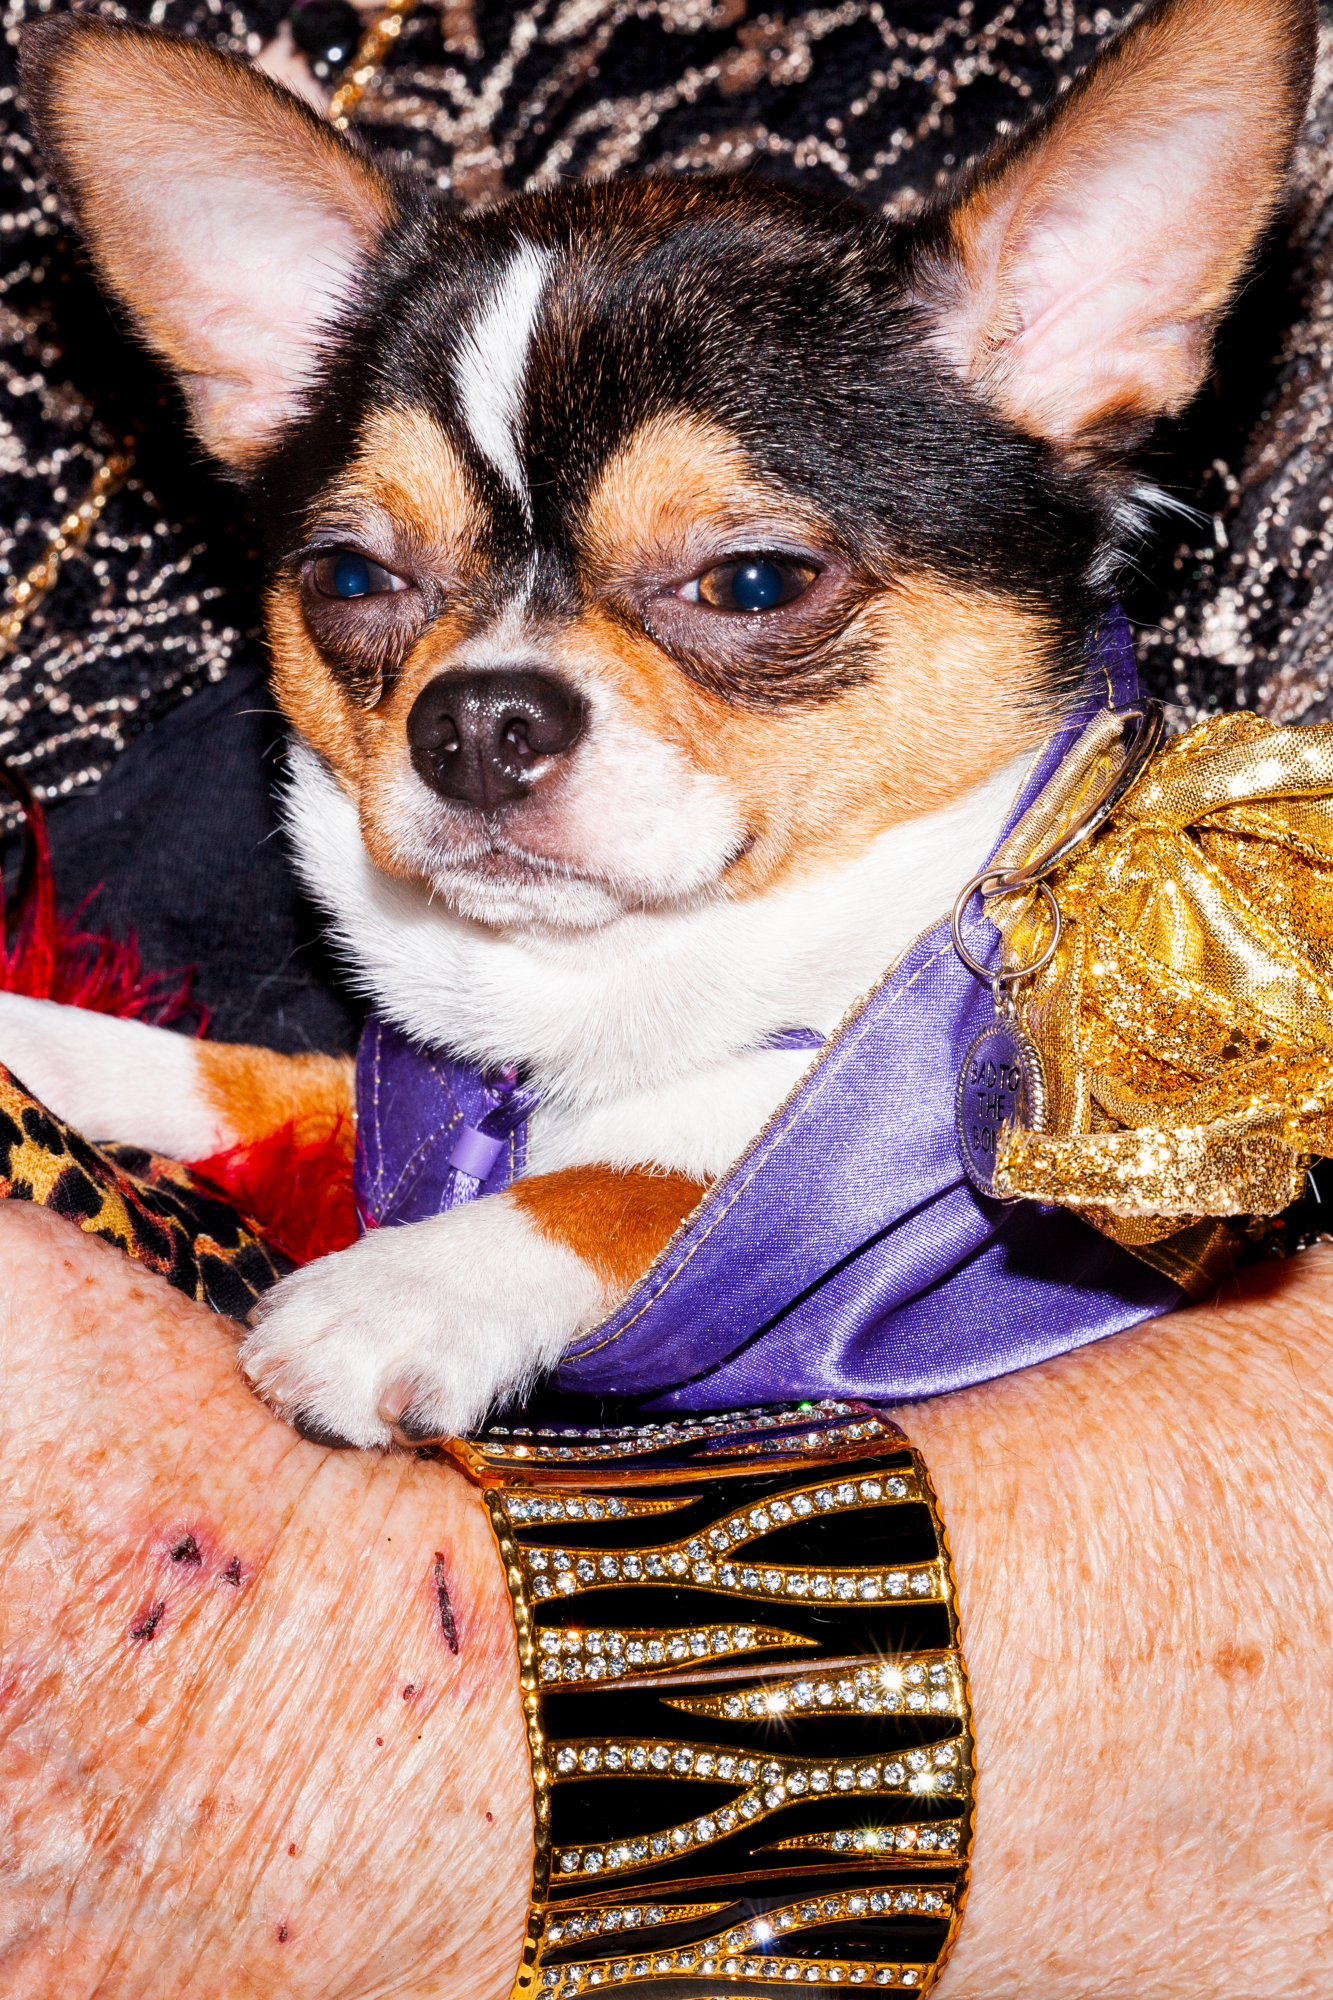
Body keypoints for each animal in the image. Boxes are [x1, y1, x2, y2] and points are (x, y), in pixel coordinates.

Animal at [0, 0, 1304, 1440]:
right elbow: (274, 1076)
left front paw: (416, 1283)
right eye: (349, 578)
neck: (614, 988)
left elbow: (670, 1175)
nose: (477, 719)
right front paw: (49, 1046)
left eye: (754, 582)